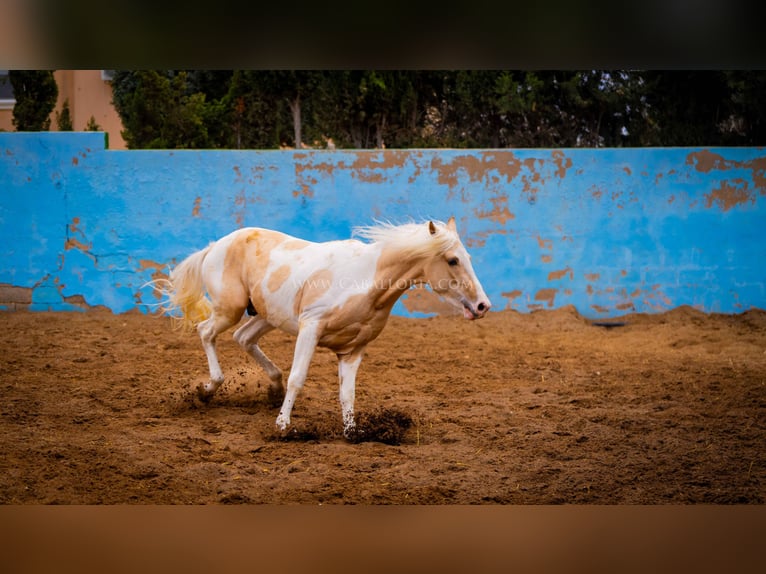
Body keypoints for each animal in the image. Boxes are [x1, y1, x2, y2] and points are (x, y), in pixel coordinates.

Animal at [162, 218, 492, 438]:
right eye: (452, 260)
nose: (482, 306)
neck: (365, 281)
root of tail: (215, 246)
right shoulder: (311, 327)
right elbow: (298, 378)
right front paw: (283, 426)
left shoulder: (353, 350)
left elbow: (348, 393)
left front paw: (352, 431)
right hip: (229, 309)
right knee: (206, 331)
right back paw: (208, 390)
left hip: (268, 316)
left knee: (243, 337)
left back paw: (272, 388)